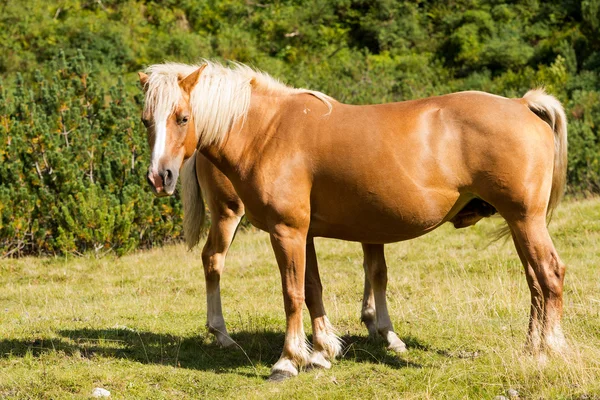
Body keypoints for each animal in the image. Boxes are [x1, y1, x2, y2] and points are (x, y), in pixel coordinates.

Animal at [176, 149, 406, 366]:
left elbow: (371, 269)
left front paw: (372, 321)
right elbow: (378, 272)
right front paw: (389, 335)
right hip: (228, 213)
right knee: (213, 258)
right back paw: (223, 336)